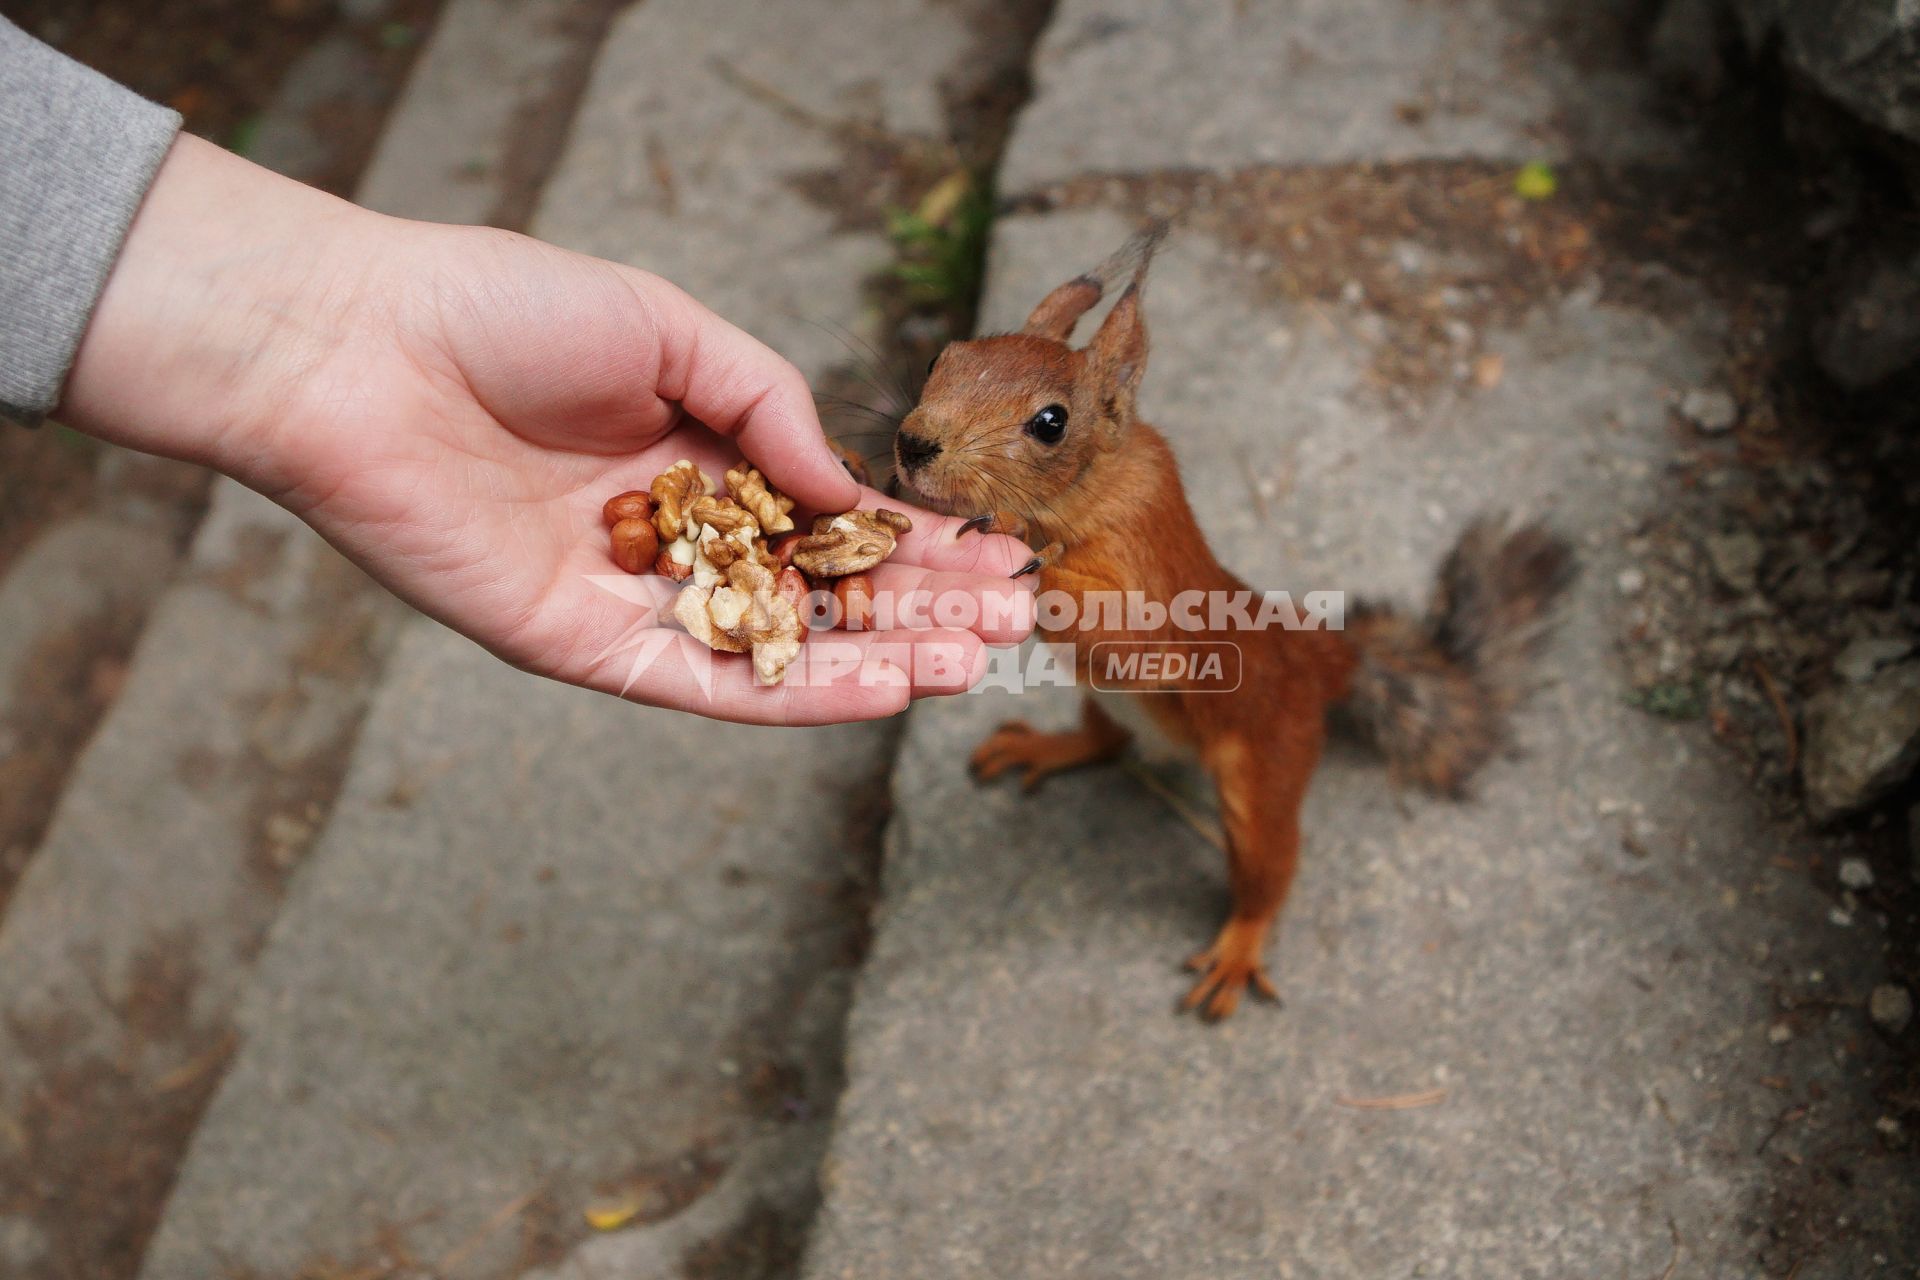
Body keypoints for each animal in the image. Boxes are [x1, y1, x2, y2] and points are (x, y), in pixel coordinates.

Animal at [890, 222, 1566, 1020]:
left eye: (1050, 423)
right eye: (942, 357)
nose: (912, 446)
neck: (1089, 486)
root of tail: (1322, 663)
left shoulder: (1149, 570)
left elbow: (1134, 633)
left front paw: (1027, 550)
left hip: (1266, 766)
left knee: (1269, 869)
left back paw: (1239, 950)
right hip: (1109, 704)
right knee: (1108, 740)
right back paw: (1045, 746)